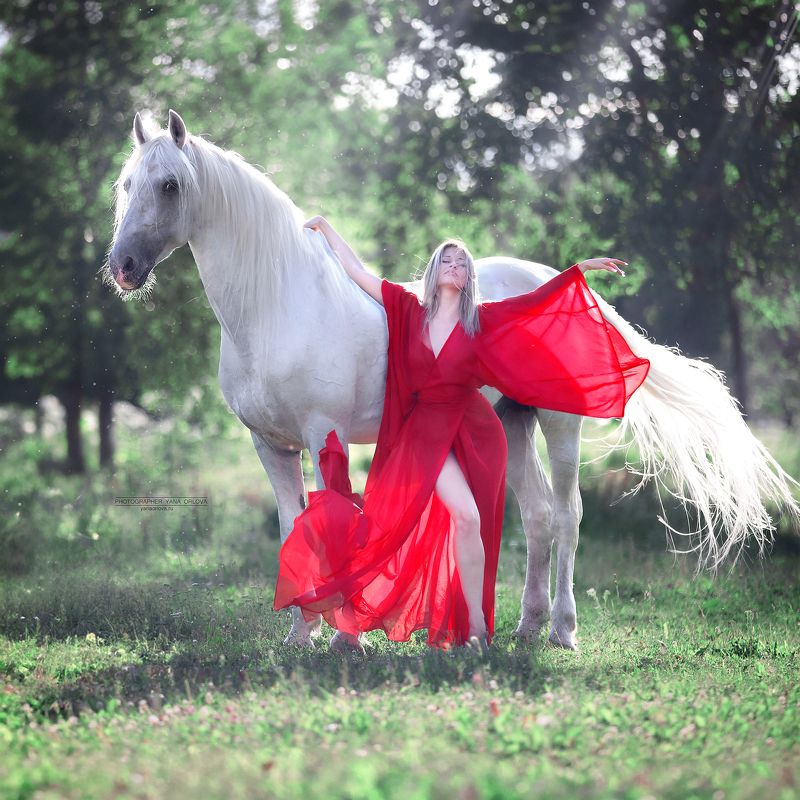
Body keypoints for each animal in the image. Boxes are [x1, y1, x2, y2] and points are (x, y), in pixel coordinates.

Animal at [105, 109, 799, 652]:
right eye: (125, 183)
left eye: (170, 185)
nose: (123, 266)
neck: (278, 305)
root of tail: (555, 282)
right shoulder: (270, 445)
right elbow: (293, 527)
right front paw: (301, 633)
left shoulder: (325, 435)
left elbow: (336, 527)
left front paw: (345, 637)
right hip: (512, 423)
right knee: (538, 515)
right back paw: (523, 627)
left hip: (560, 424)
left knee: (568, 515)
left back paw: (563, 630)